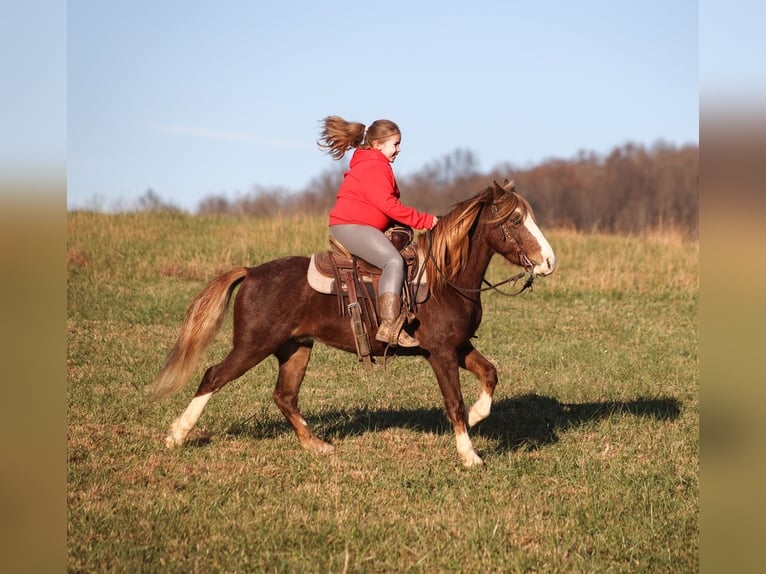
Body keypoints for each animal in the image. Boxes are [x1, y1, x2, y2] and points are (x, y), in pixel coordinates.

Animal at [147, 179, 556, 466]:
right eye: (516, 220)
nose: (549, 261)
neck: (445, 277)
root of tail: (251, 272)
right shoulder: (441, 353)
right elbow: (453, 401)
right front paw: (469, 454)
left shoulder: (458, 346)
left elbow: (490, 375)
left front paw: (475, 415)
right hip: (252, 346)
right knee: (213, 376)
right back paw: (177, 436)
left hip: (296, 349)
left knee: (284, 395)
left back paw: (316, 445)